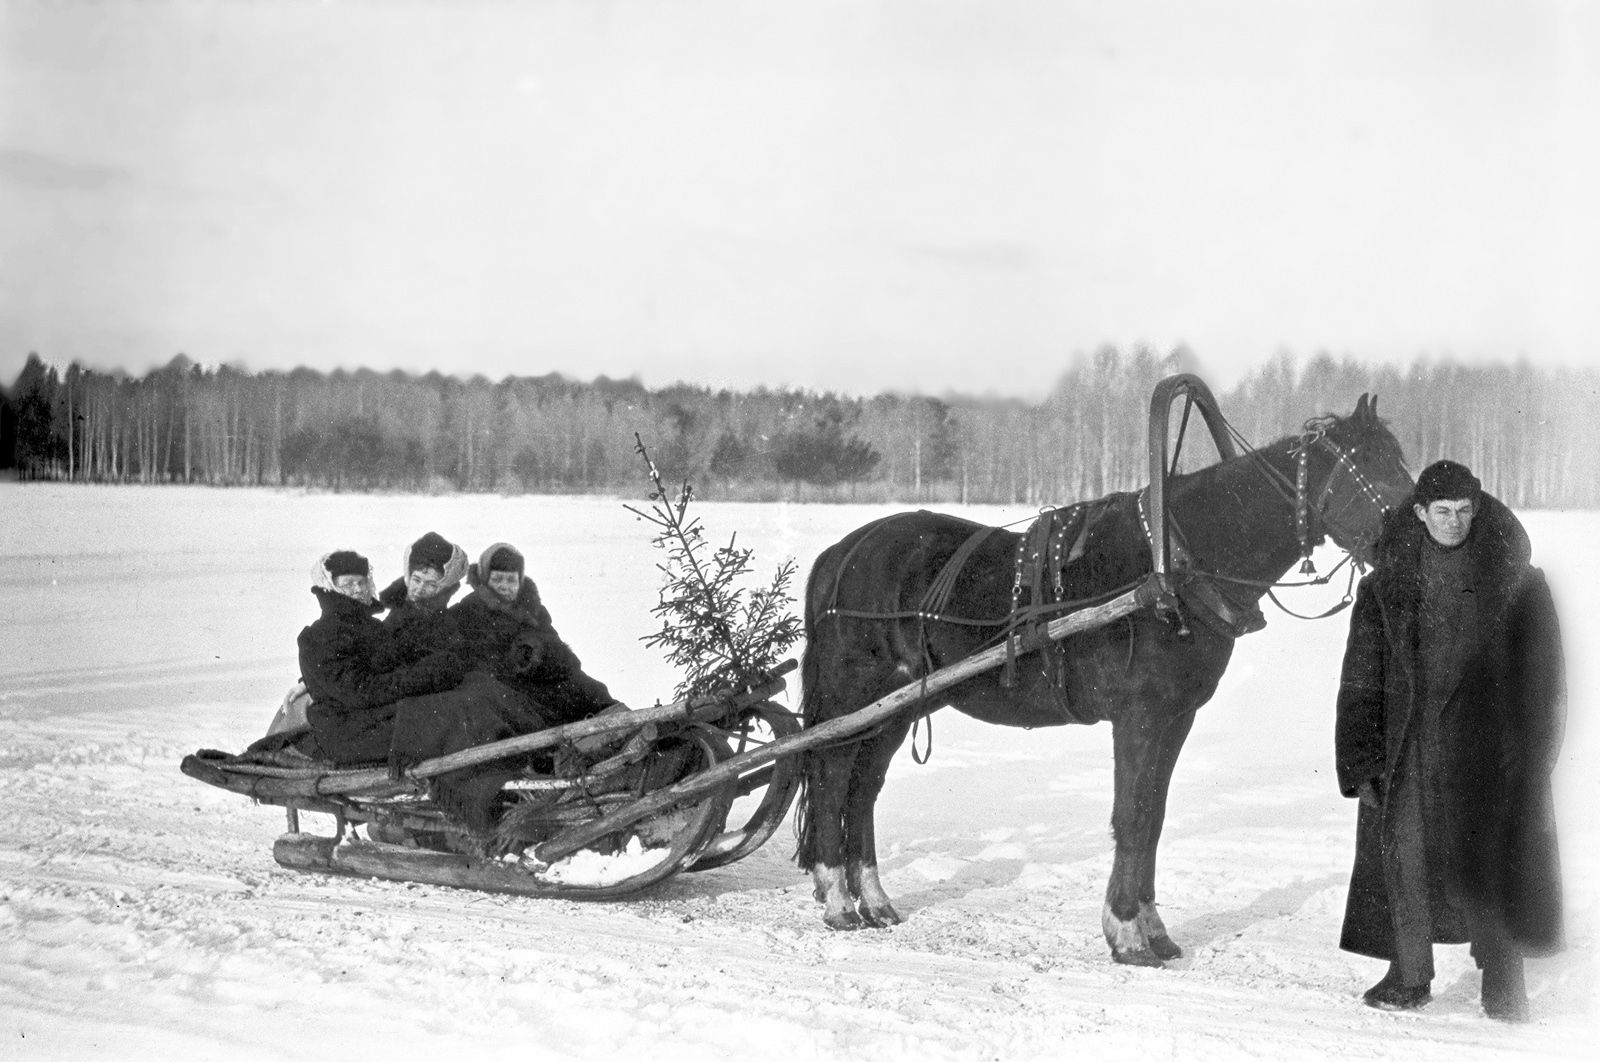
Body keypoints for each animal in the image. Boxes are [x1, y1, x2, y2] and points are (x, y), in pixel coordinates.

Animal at [800, 390, 1414, 959]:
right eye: (1372, 466)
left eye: (1398, 461)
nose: (1416, 535)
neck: (1174, 569)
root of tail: (843, 551)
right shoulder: (1138, 713)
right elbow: (1133, 814)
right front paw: (1126, 932)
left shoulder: (1176, 715)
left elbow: (1155, 815)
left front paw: (1153, 928)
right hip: (856, 693)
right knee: (832, 778)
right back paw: (838, 900)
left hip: (898, 705)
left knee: (863, 788)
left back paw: (873, 898)